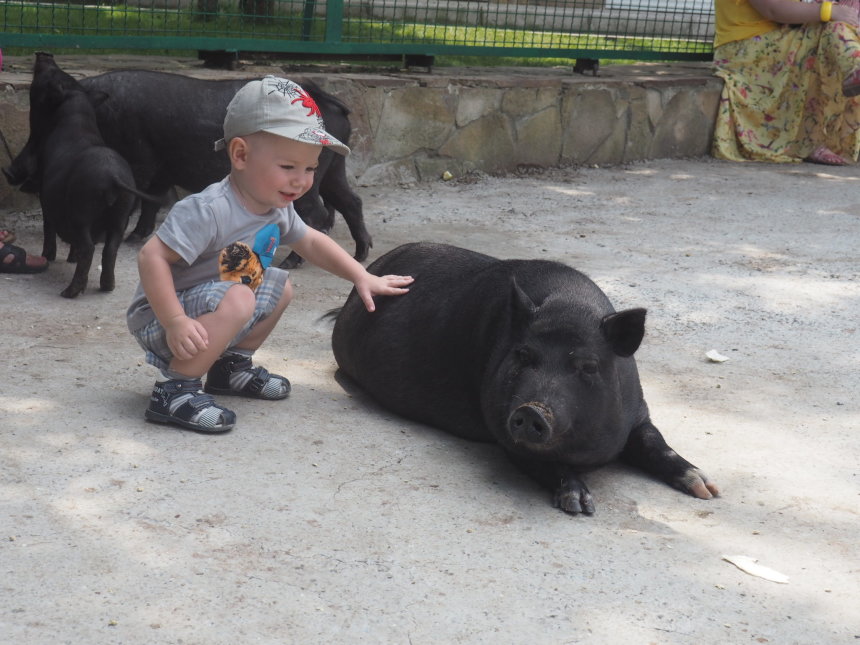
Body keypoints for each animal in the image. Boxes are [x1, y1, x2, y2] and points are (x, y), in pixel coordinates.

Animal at [4, 66, 372, 266]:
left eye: (46, 121)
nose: (11, 171)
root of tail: (326, 98)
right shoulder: (159, 168)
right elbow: (151, 201)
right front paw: (137, 237)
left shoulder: (141, 158)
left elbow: (139, 196)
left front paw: (124, 237)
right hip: (333, 168)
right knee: (351, 201)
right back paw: (360, 255)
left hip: (307, 175)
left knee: (318, 213)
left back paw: (294, 262)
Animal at [330, 242, 720, 512]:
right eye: (523, 355)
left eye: (588, 366)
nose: (532, 410)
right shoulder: (500, 423)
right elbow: (538, 461)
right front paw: (580, 505)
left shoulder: (639, 414)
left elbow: (656, 443)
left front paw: (707, 489)